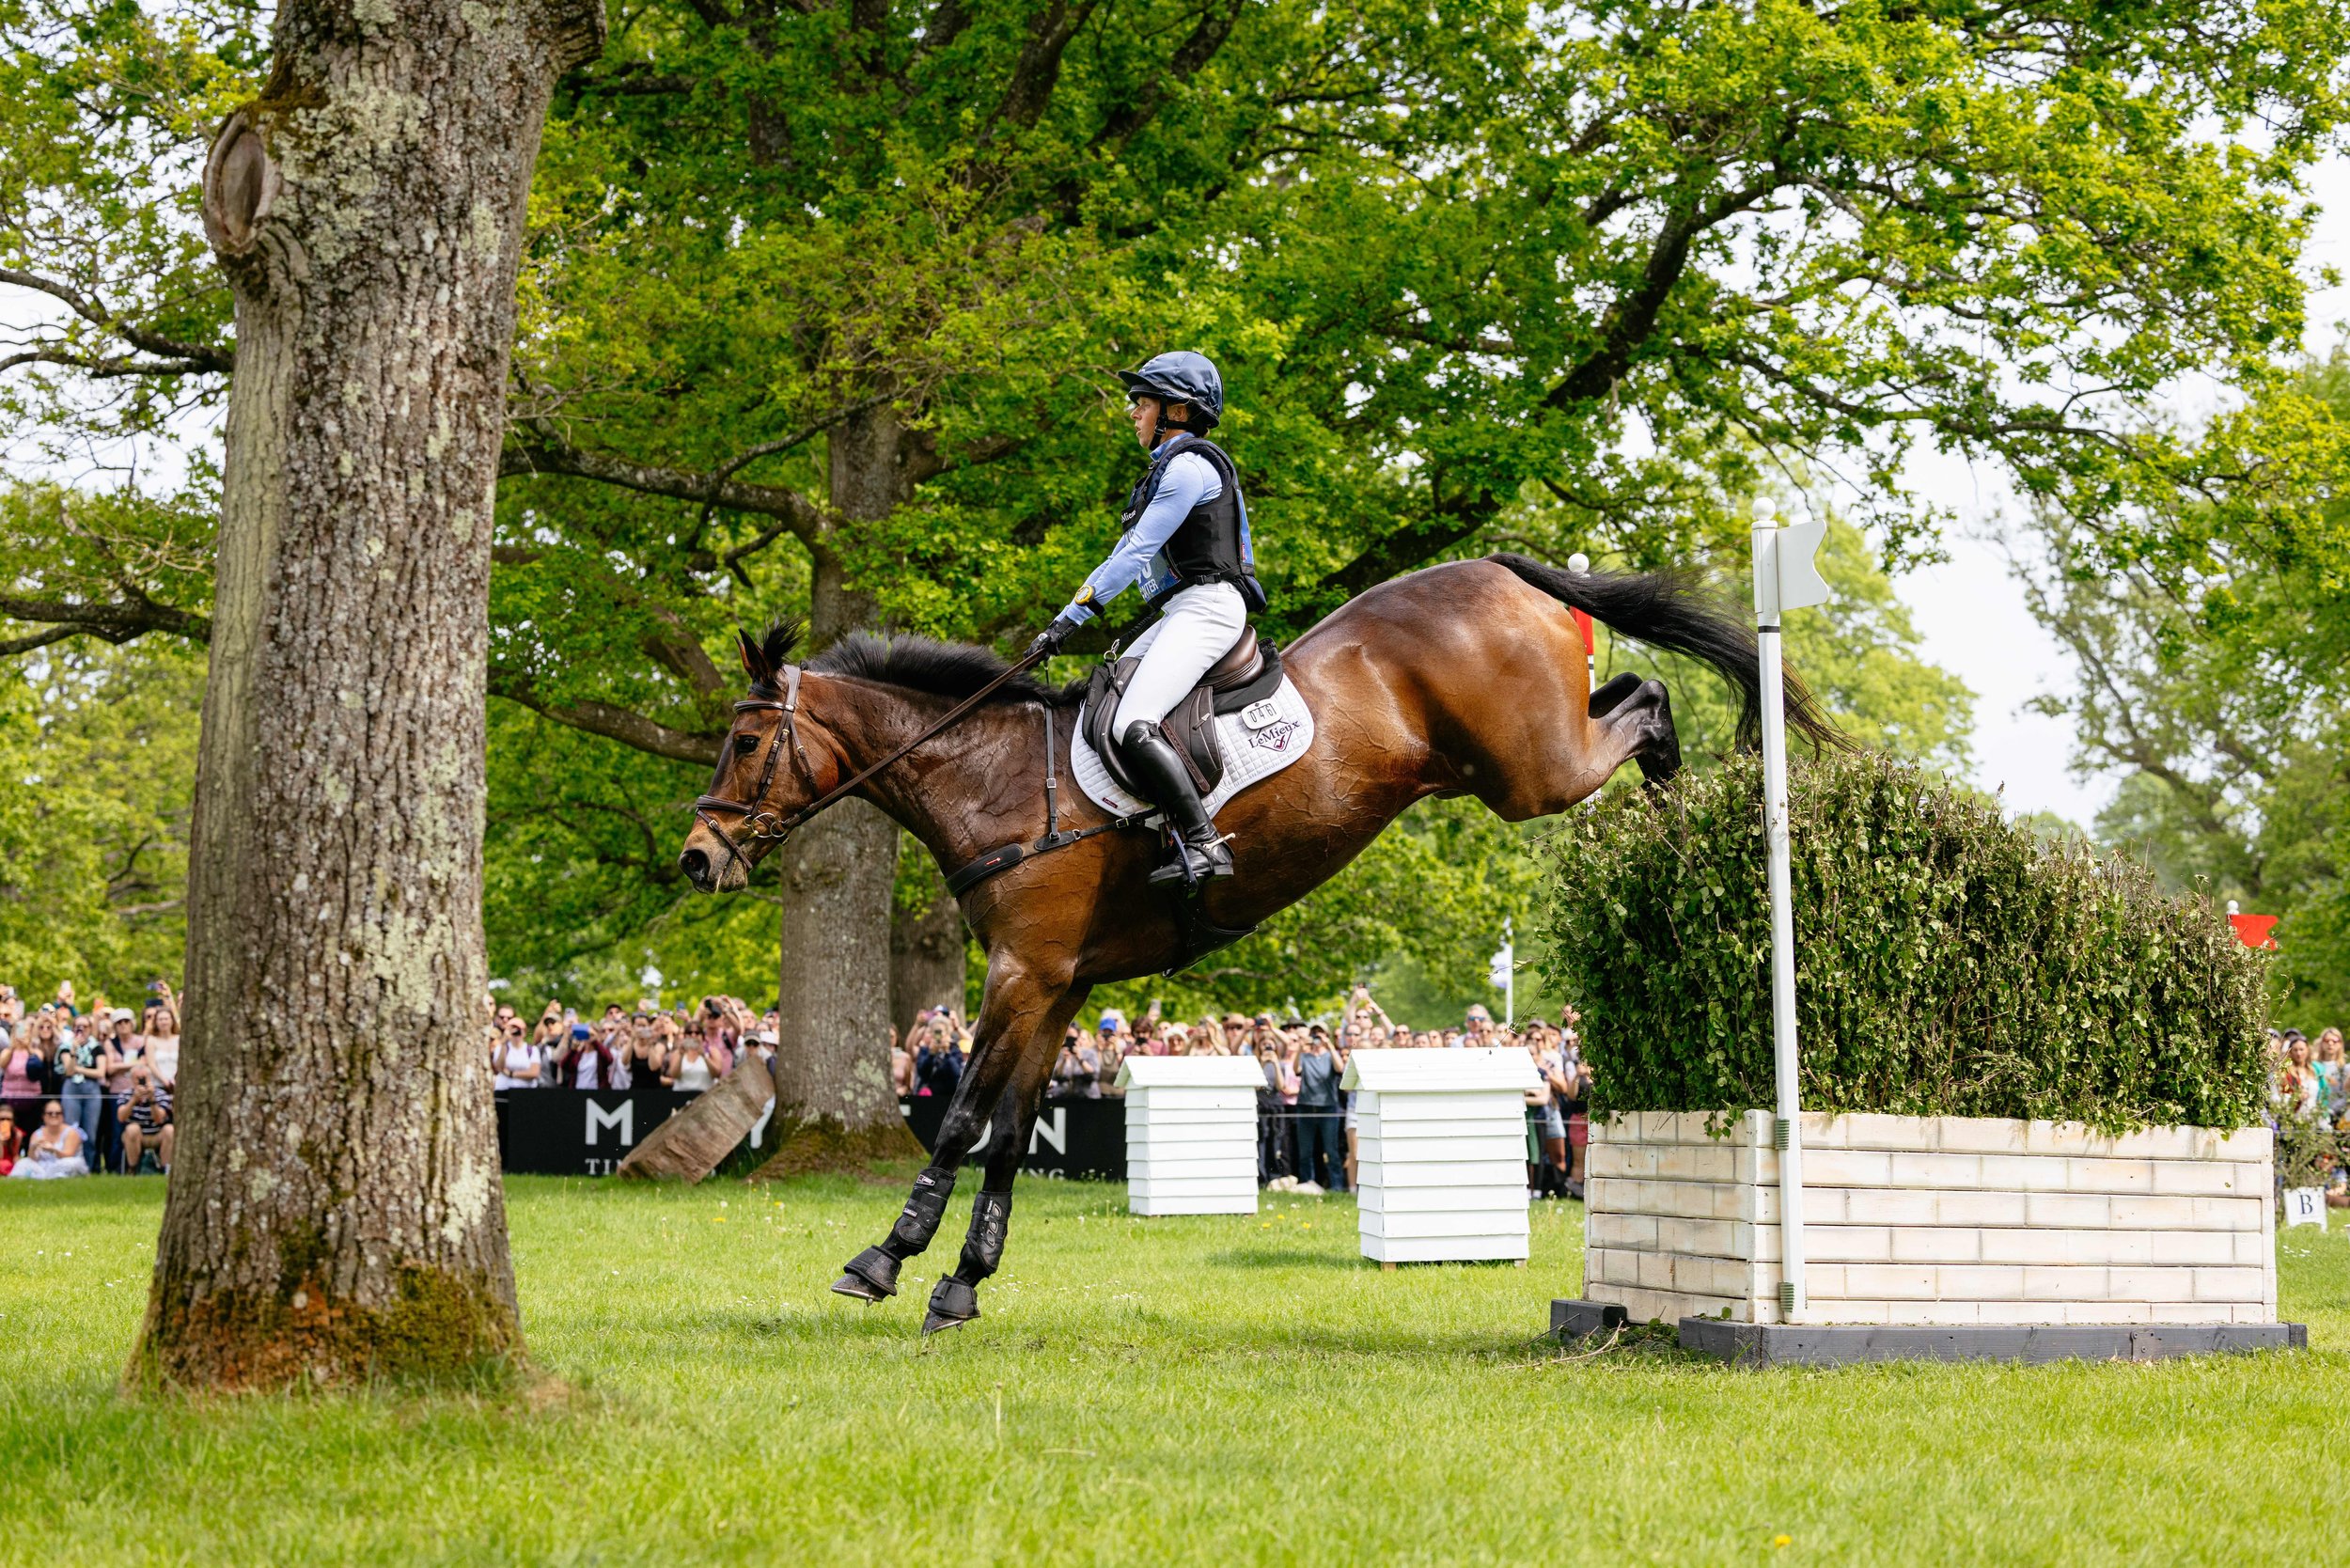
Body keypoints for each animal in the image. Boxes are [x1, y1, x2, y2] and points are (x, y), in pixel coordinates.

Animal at [677, 553, 1838, 1333]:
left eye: (745, 740)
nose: (696, 857)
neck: (990, 776)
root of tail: (1498, 567)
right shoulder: (1058, 986)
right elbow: (1006, 1134)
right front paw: (962, 1282)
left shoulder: (1022, 975)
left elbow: (959, 1120)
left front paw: (884, 1259)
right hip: (1511, 762)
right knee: (1634, 695)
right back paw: (1678, 799)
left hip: (1530, 769)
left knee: (1646, 702)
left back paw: (1683, 790)